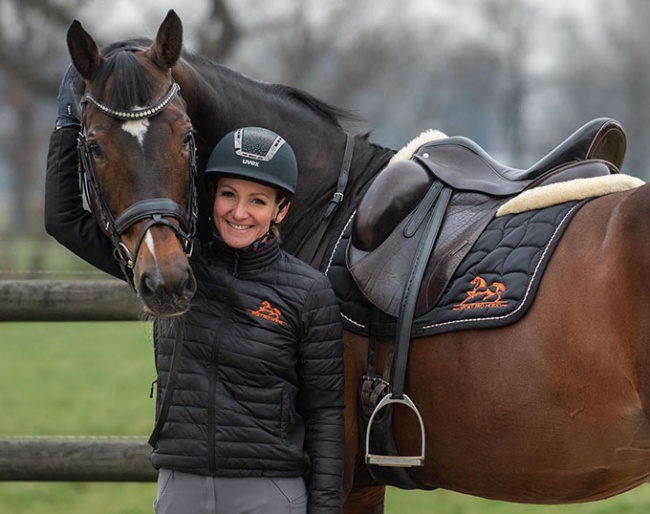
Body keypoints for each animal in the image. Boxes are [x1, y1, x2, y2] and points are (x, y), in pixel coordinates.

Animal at [66, 10, 650, 510]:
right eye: (93, 147)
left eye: (187, 137)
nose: (165, 279)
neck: (328, 204)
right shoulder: (365, 482)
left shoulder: (337, 471)